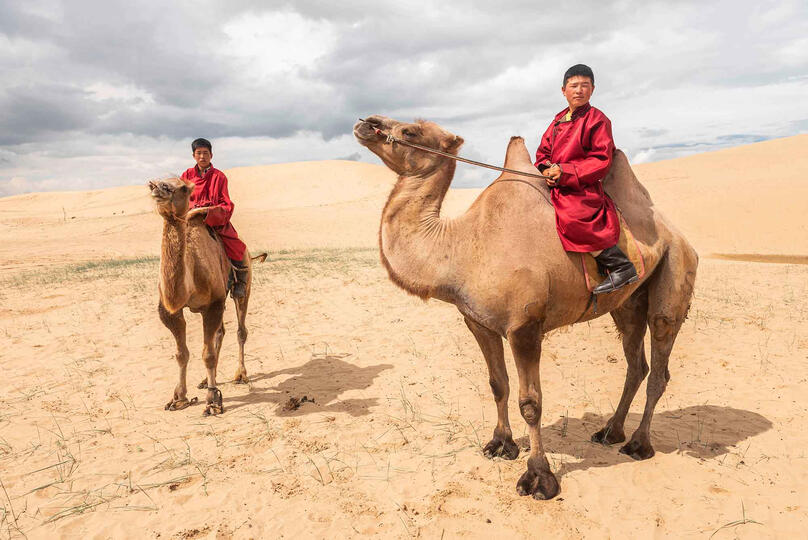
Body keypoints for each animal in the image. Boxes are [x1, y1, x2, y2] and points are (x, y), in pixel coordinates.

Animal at [148, 177, 265, 416]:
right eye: (153, 184)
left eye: (183, 188)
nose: (159, 188)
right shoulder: (169, 311)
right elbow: (181, 353)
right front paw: (179, 398)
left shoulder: (213, 304)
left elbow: (207, 354)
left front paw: (213, 401)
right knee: (221, 332)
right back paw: (205, 380)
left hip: (243, 286)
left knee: (240, 331)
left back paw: (240, 375)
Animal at [354, 116, 698, 500]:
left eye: (411, 131)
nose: (366, 122)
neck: (462, 247)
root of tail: (679, 236)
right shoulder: (478, 322)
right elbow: (497, 384)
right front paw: (500, 445)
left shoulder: (525, 327)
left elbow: (531, 403)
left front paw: (539, 477)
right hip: (628, 302)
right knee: (636, 363)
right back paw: (610, 432)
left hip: (675, 274)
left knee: (660, 360)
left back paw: (638, 444)